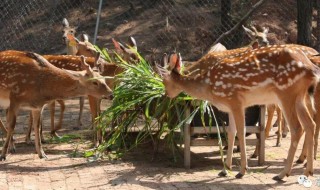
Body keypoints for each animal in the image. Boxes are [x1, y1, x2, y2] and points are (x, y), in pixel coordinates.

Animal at [158, 44, 320, 180]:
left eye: (164, 81)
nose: (166, 94)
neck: (209, 86)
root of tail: (312, 69)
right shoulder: (229, 107)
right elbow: (231, 133)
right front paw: (225, 169)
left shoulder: (236, 101)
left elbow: (241, 133)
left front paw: (242, 171)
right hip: (300, 97)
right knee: (310, 124)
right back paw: (307, 171)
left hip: (286, 93)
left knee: (297, 128)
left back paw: (282, 174)